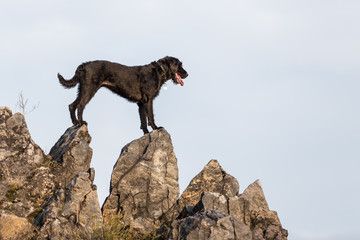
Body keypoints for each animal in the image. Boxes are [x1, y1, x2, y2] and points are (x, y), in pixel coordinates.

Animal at [58, 57, 188, 134]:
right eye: (180, 65)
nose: (187, 74)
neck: (159, 72)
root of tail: (84, 65)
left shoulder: (141, 103)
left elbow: (143, 121)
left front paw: (146, 134)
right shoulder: (148, 100)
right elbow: (150, 116)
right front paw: (156, 128)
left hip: (82, 90)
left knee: (72, 105)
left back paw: (75, 122)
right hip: (89, 90)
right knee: (80, 105)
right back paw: (81, 122)